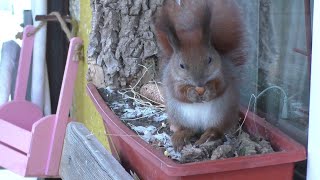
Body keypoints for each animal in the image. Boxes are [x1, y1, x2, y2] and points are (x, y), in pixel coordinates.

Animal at [153, 0, 245, 150]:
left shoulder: (223, 73)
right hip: (178, 115)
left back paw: (207, 137)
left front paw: (210, 91)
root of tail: (201, 126)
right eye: (181, 65)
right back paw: (180, 137)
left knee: (216, 129)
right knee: (190, 129)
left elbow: (221, 86)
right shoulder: (171, 80)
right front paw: (191, 93)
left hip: (221, 114)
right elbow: (178, 92)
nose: (200, 84)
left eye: (209, 59)